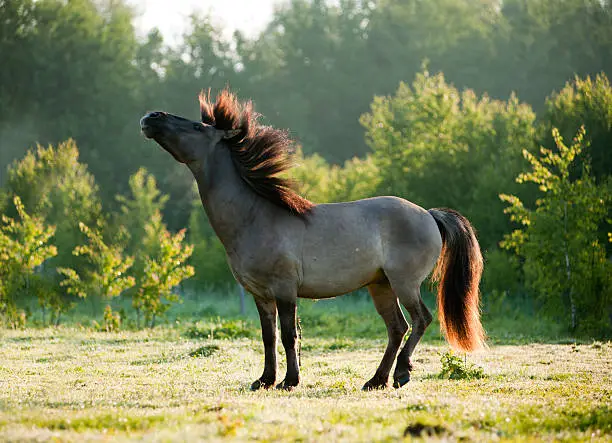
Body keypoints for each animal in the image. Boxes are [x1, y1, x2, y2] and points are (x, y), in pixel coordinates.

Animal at [141, 89, 486, 392]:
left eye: (197, 127)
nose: (150, 117)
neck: (254, 218)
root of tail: (428, 214)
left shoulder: (284, 290)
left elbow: (289, 335)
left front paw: (289, 381)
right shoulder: (260, 294)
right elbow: (268, 337)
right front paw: (264, 380)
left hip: (404, 283)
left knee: (420, 320)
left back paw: (401, 373)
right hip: (381, 285)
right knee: (397, 328)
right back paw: (376, 380)